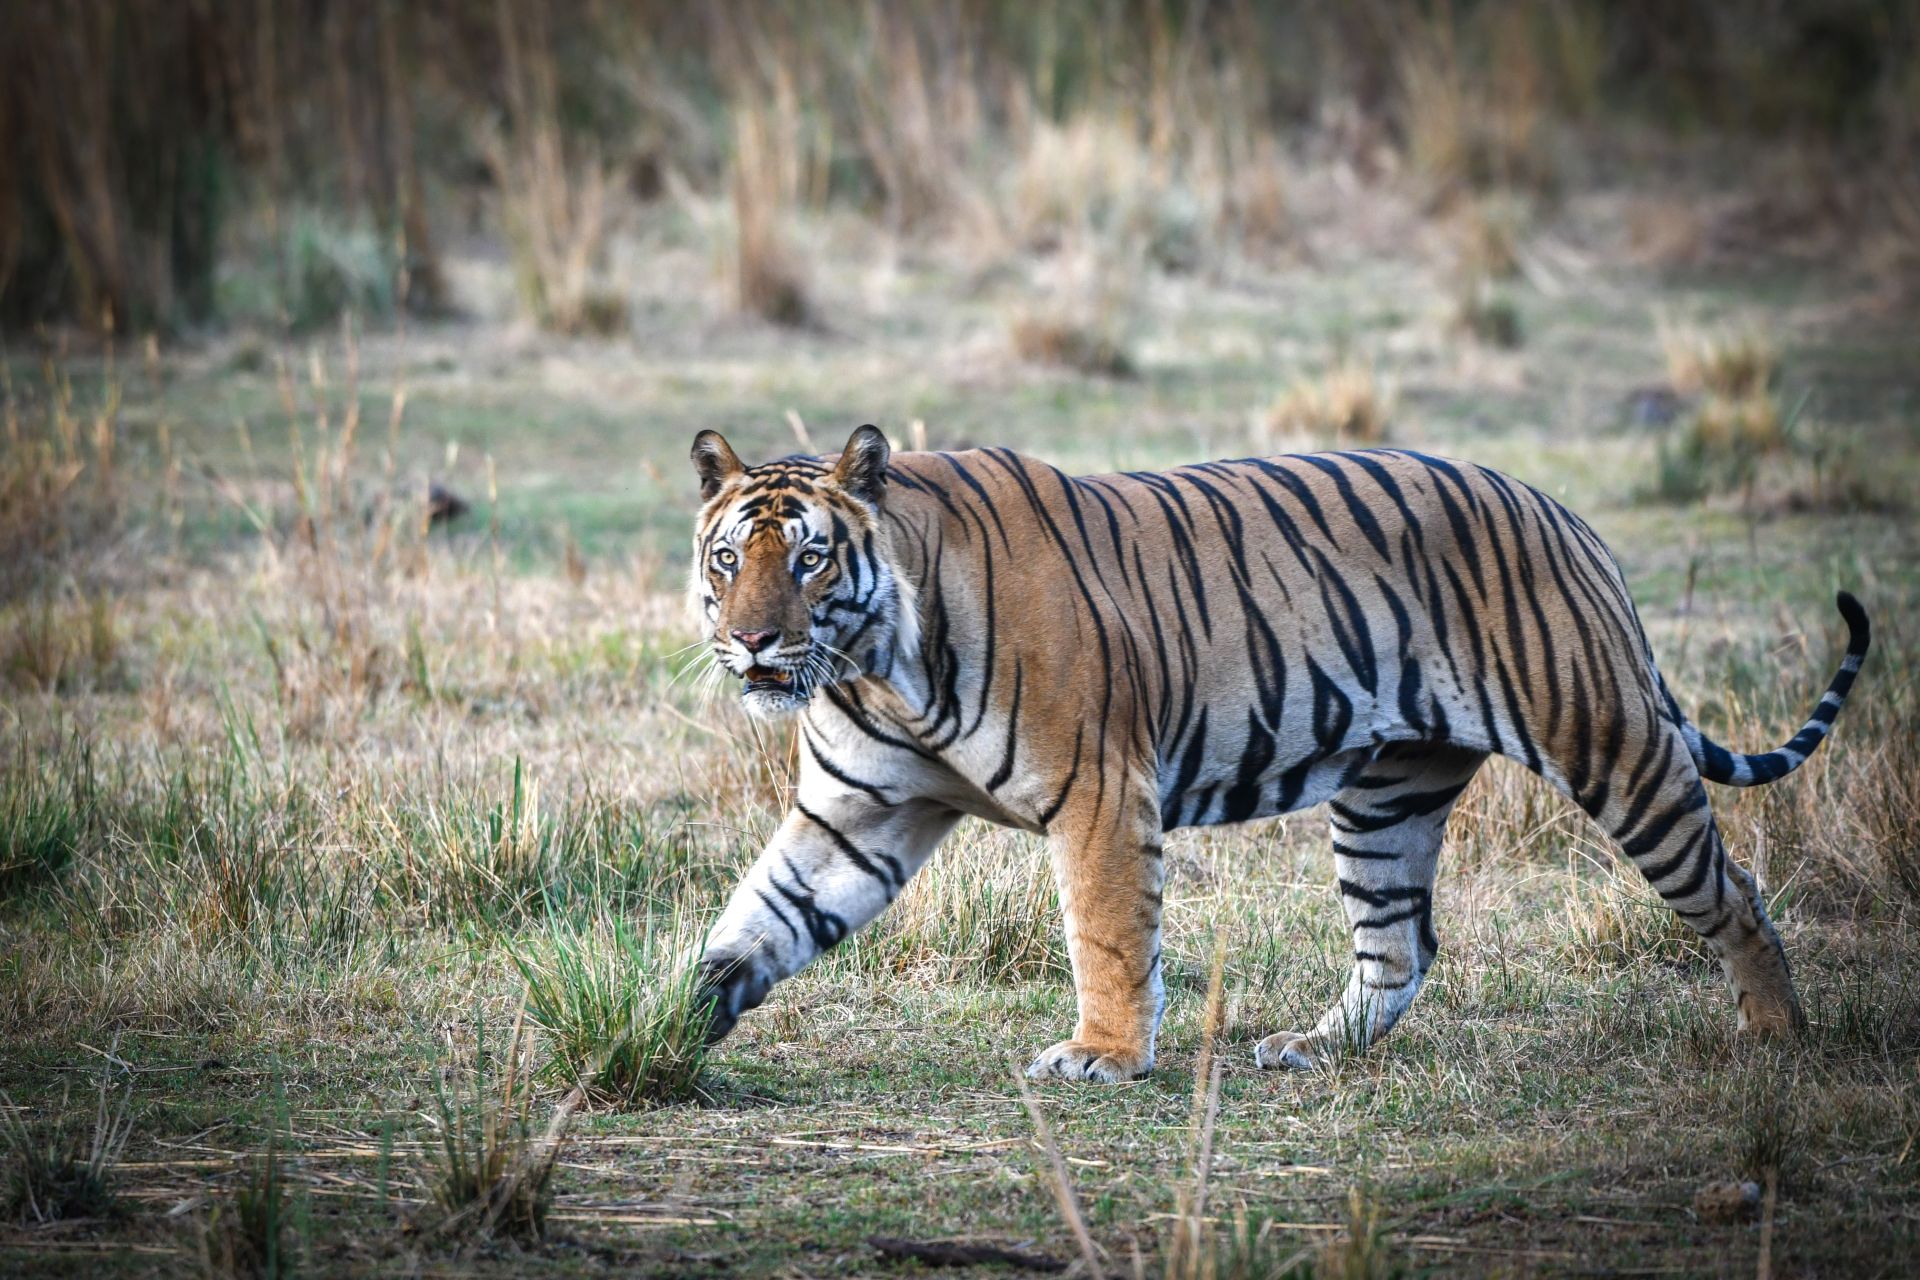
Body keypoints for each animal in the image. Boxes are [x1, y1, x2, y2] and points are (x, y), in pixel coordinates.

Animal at [687, 425, 1870, 1082]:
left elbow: (1107, 932)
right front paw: (664, 1024)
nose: (752, 641)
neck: (875, 661)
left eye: (808, 559)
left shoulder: (1099, 791)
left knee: (1734, 893)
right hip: (1389, 797)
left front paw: (1104, 1054)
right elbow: (758, 920)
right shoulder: (858, 814)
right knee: (1400, 945)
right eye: (726, 559)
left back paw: (1776, 1036)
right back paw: (1311, 1049)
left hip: (1613, 746)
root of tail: (1566, 513)